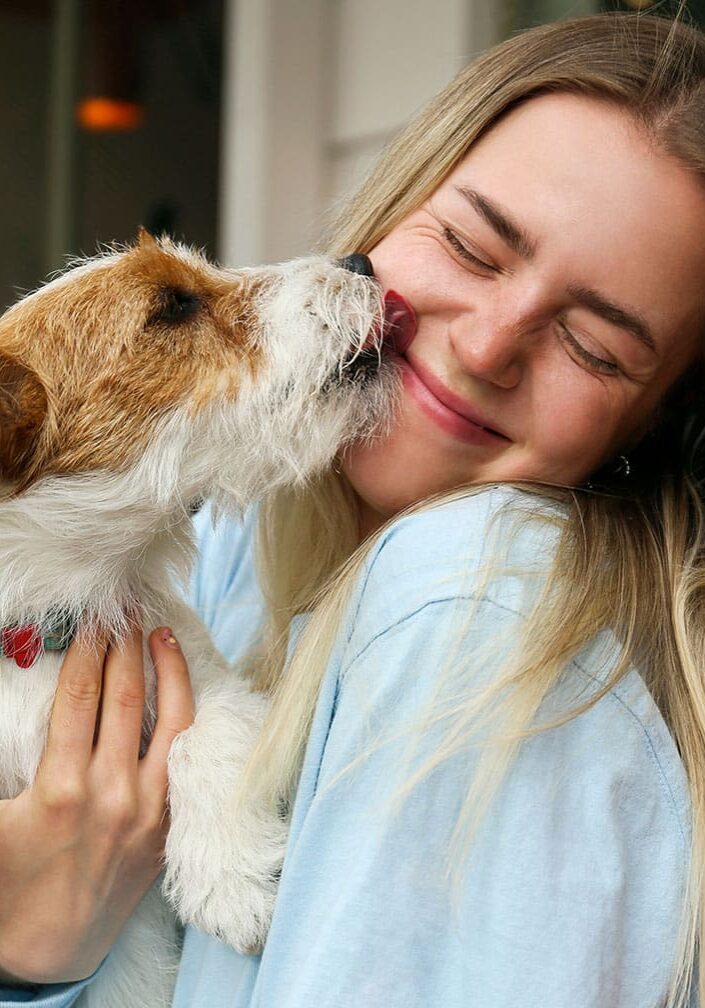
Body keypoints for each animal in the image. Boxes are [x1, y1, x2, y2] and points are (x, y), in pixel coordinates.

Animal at [0, 230, 403, 1008]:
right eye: (174, 307)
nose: (361, 264)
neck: (50, 623)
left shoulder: (205, 676)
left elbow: (199, 736)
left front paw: (230, 881)